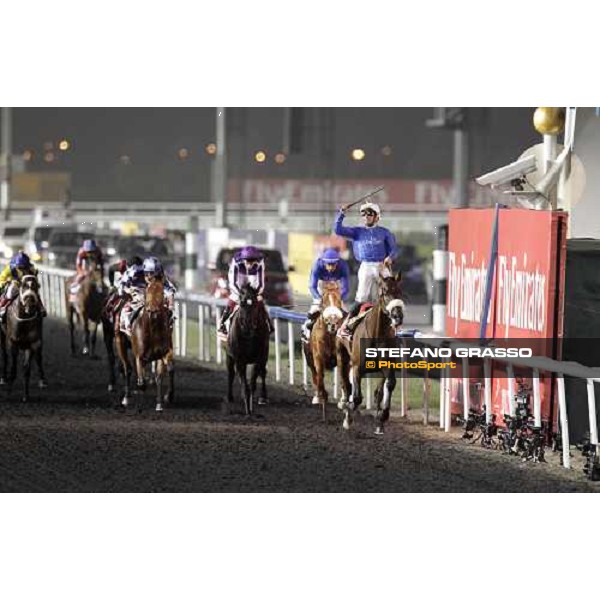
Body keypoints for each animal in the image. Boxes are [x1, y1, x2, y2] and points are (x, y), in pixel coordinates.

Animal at [0, 276, 46, 404]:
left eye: (36, 286)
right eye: (23, 286)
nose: (29, 303)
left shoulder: (32, 344)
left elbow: (26, 370)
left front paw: (26, 395)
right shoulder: (13, 342)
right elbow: (13, 368)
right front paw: (9, 390)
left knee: (38, 358)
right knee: (4, 355)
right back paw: (3, 378)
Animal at [115, 278, 175, 412]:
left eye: (162, 292)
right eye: (147, 291)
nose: (152, 311)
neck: (152, 330)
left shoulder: (163, 353)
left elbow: (163, 374)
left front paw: (164, 400)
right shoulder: (139, 356)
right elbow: (142, 383)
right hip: (120, 341)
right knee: (128, 368)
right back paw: (126, 398)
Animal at [225, 284, 270, 414]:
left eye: (254, 304)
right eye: (242, 303)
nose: (247, 326)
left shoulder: (259, 358)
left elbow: (253, 383)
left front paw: (251, 406)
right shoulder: (240, 359)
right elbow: (244, 384)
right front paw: (247, 410)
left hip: (264, 356)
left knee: (263, 373)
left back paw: (263, 397)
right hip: (229, 355)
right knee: (231, 373)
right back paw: (230, 397)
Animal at [302, 280, 350, 410]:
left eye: (339, 299)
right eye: (324, 299)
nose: (333, 320)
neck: (330, 334)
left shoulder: (342, 357)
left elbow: (343, 377)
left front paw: (343, 401)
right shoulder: (318, 357)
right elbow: (319, 376)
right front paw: (321, 397)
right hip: (309, 358)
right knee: (315, 375)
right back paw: (317, 396)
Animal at [340, 274, 406, 436]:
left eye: (400, 291)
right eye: (384, 291)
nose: (398, 316)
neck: (377, 334)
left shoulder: (386, 366)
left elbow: (387, 386)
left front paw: (382, 418)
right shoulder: (357, 367)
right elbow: (356, 397)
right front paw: (348, 414)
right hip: (342, 357)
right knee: (347, 384)